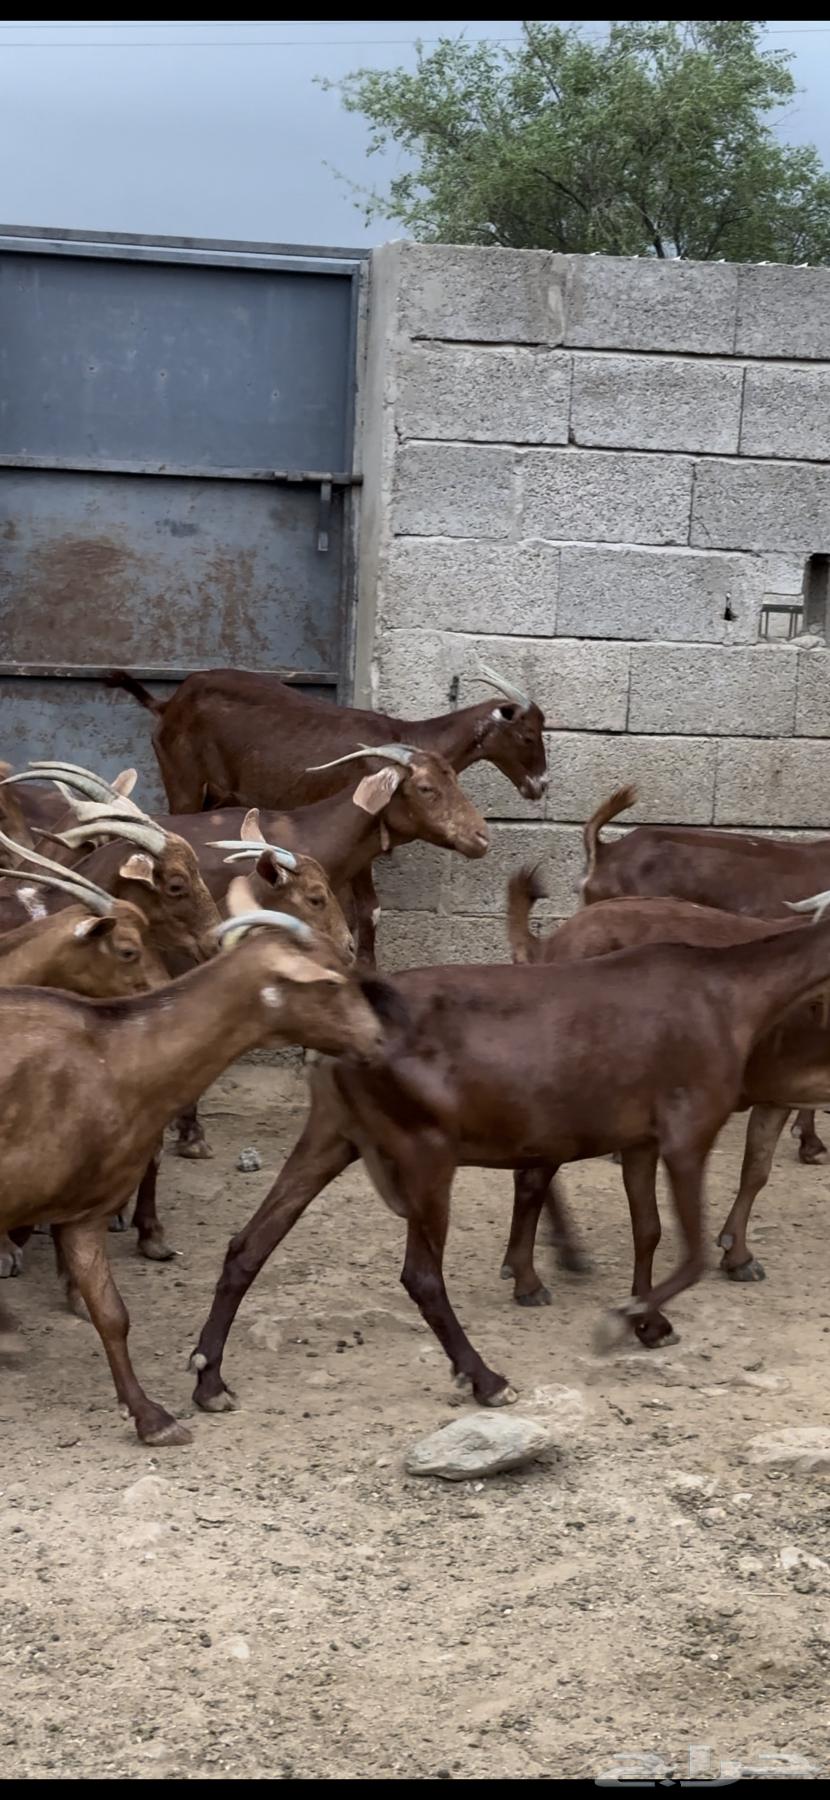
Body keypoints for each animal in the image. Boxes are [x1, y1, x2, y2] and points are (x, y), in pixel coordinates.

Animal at [0, 882, 393, 1446]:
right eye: (332, 979)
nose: (379, 1040)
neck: (112, 1058)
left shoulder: (83, 1212)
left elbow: (112, 1314)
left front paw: (153, 1418)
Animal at [105, 662, 545, 960]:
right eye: (527, 734)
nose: (539, 785)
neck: (406, 735)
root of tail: (167, 704)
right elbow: (367, 912)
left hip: (219, 793)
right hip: (181, 780)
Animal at [188, 903, 830, 1416]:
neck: (731, 996)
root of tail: (338, 1045)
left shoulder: (641, 1139)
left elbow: (647, 1230)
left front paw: (648, 1323)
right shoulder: (688, 1130)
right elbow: (693, 1253)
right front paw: (618, 1323)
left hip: (330, 1134)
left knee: (249, 1245)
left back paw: (209, 1380)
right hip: (424, 1150)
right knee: (421, 1276)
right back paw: (487, 1378)